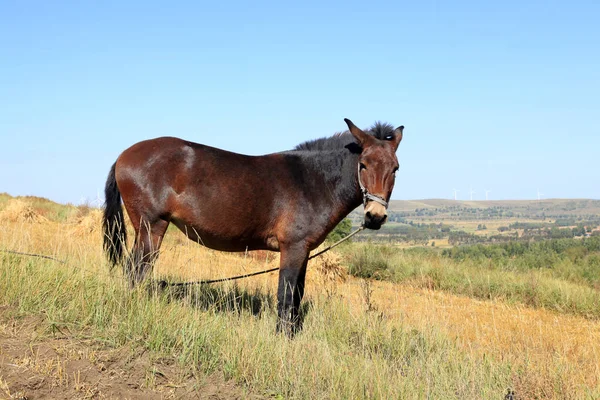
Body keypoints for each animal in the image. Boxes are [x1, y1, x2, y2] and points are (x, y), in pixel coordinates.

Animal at [103, 117, 404, 332]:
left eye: (395, 168)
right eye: (363, 165)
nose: (375, 217)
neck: (310, 181)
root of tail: (124, 154)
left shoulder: (304, 250)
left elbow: (297, 295)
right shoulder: (292, 248)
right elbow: (286, 296)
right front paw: (283, 339)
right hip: (152, 226)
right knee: (137, 269)